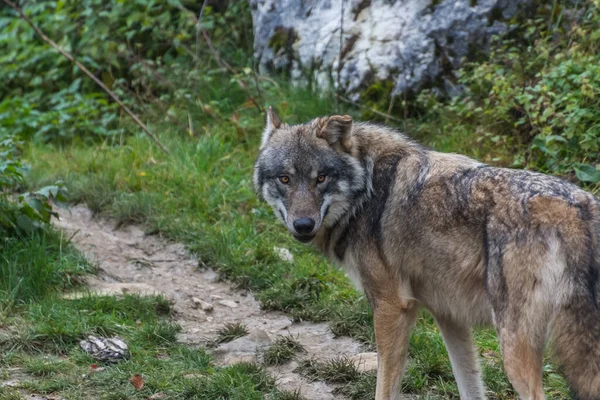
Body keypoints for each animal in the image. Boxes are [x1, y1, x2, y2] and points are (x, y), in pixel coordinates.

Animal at [252, 107, 600, 400]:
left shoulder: (392, 307)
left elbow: (384, 389)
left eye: (321, 178)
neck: (366, 191)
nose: (303, 225)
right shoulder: (449, 316)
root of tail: (576, 207)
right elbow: (470, 388)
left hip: (514, 349)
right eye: (285, 179)